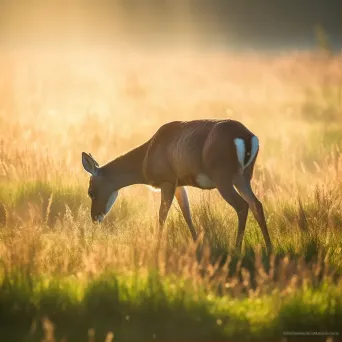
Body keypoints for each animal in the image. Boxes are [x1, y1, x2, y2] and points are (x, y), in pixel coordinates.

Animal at [80, 119, 272, 252]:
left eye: (91, 191)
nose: (95, 217)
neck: (147, 155)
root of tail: (248, 138)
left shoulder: (168, 181)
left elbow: (162, 215)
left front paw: (157, 245)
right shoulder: (179, 184)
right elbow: (187, 213)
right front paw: (197, 243)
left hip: (223, 179)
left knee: (242, 206)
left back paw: (237, 248)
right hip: (243, 177)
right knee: (256, 204)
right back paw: (269, 247)